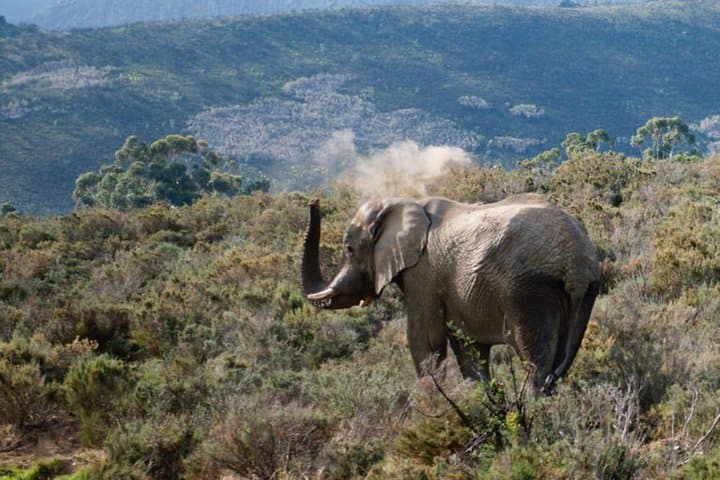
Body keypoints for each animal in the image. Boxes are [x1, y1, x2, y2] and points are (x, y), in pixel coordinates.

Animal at [301, 193, 600, 393]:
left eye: (349, 249)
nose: (314, 201)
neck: (402, 202)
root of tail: (577, 262)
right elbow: (469, 349)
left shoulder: (423, 274)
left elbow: (426, 339)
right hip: (582, 295)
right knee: (560, 361)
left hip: (528, 291)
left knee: (536, 362)